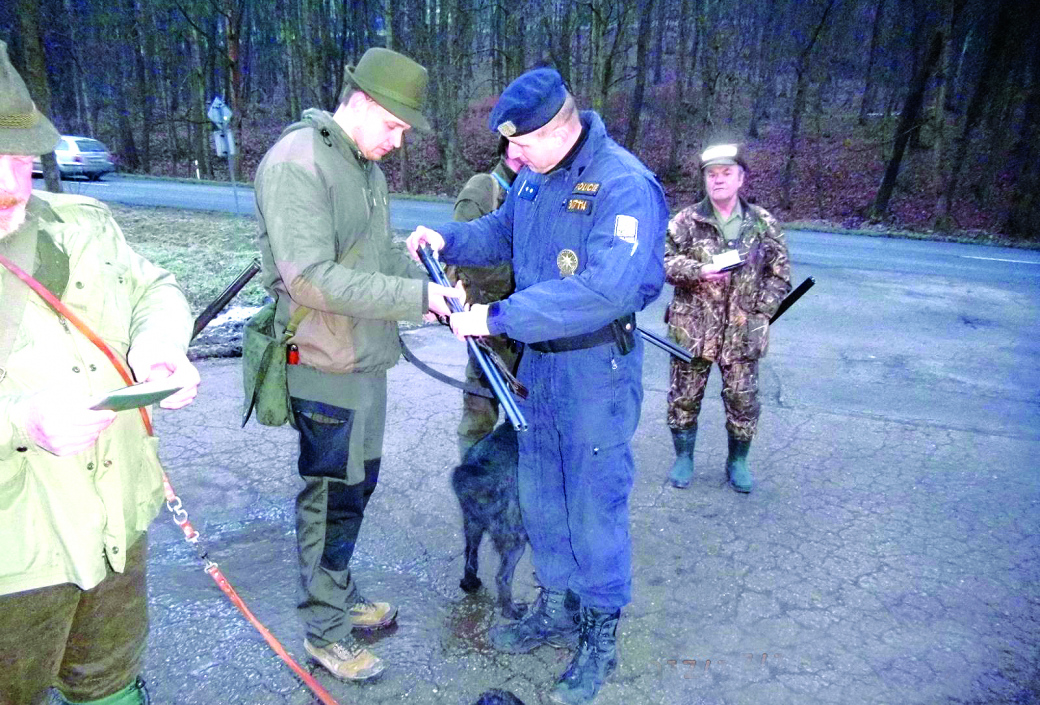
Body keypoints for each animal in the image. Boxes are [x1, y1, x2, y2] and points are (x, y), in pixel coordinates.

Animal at [451, 426, 528, 619]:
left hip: (472, 525)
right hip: (515, 539)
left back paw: (470, 583)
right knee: (502, 578)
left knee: (470, 559)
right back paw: (511, 611)